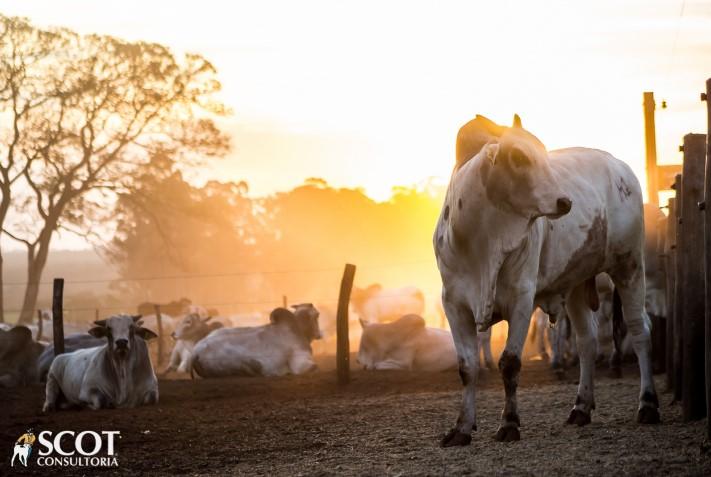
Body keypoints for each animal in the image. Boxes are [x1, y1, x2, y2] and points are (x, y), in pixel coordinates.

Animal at [434, 115, 660, 446]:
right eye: (518, 157)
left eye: (543, 152)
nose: (565, 201)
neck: (481, 242)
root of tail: (620, 166)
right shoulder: (453, 303)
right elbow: (467, 367)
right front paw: (461, 428)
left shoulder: (521, 299)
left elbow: (510, 362)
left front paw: (509, 423)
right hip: (578, 285)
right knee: (587, 341)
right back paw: (581, 407)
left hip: (630, 266)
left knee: (639, 329)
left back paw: (648, 404)